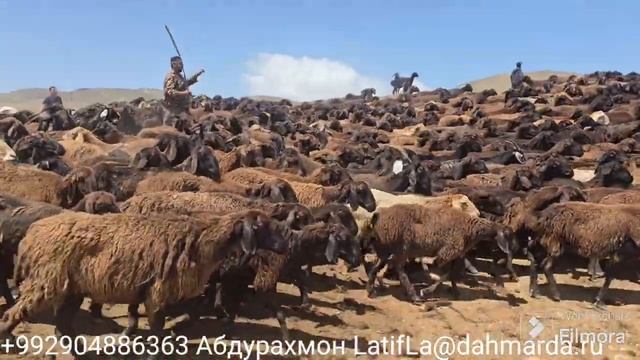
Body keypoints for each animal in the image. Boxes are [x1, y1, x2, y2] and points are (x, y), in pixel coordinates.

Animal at [0, 210, 284, 344]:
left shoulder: (152, 291)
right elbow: (157, 331)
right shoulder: (157, 293)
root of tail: (31, 234)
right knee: (13, 315)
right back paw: (10, 340)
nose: (284, 245)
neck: (201, 240)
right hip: (46, 282)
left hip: (71, 289)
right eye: (262, 227)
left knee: (63, 326)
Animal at [358, 204, 512, 302]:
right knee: (400, 271)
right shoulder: (446, 253)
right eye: (507, 235)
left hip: (386, 249)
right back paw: (414, 296)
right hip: (402, 249)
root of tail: (376, 217)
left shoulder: (457, 254)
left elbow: (453, 274)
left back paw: (370, 290)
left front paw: (455, 291)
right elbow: (445, 274)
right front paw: (427, 291)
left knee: (375, 267)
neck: (471, 228)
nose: (509, 253)